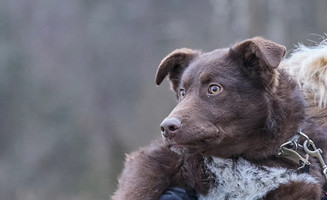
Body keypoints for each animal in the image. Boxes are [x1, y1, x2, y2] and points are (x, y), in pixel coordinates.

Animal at [113, 37, 327, 198]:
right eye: (182, 92)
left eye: (214, 88)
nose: (166, 127)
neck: (237, 159)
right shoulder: (156, 160)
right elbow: (139, 187)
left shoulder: (298, 185)